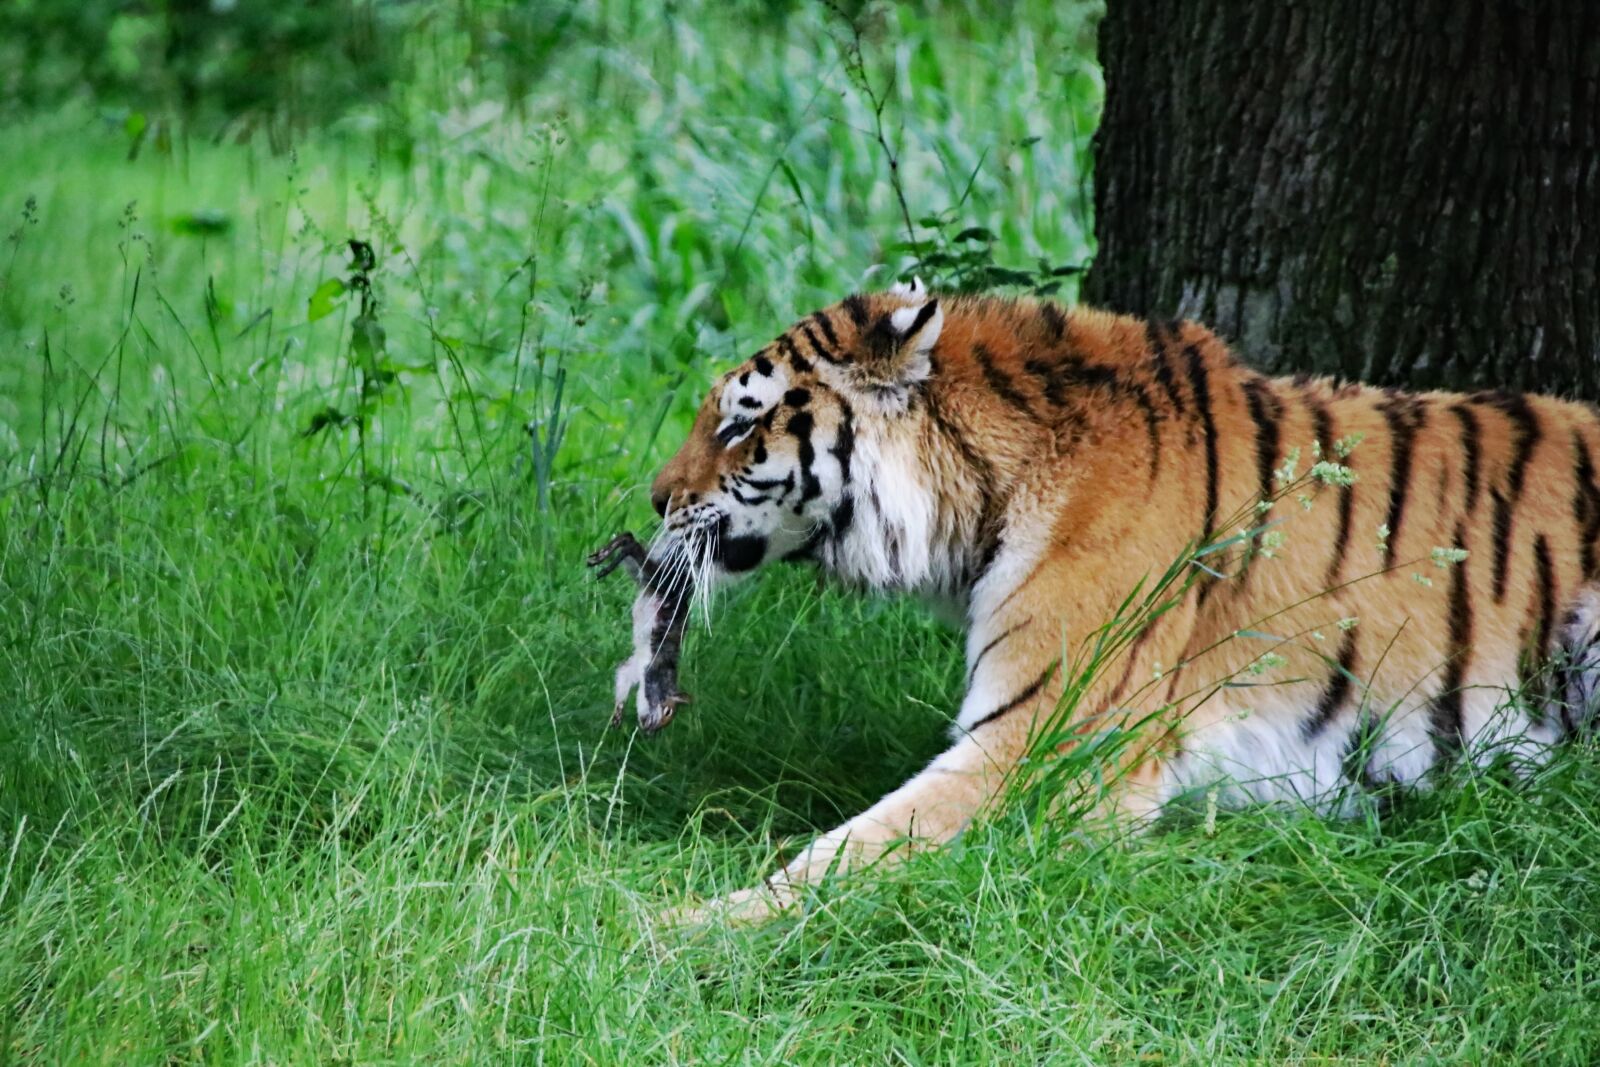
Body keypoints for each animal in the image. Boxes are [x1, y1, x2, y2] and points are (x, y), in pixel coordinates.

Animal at [645, 278, 1600, 924]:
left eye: (739, 422)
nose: (654, 499)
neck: (986, 494)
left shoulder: (1041, 748)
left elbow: (851, 852)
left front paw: (671, 931)